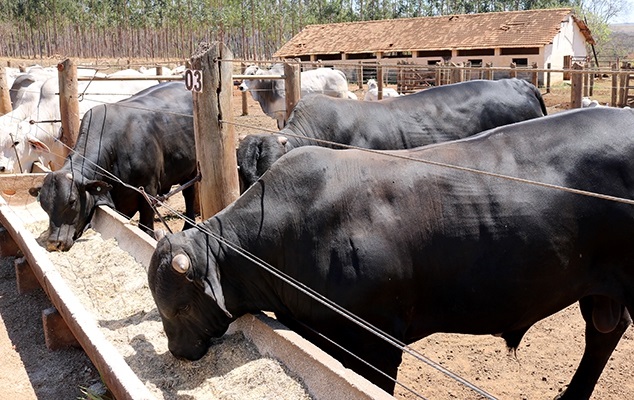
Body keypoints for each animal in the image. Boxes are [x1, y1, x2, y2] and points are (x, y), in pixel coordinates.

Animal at [29, 81, 195, 250]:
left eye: (72, 201)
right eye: (44, 205)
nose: (54, 243)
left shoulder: (149, 190)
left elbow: (146, 227)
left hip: (192, 171)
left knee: (189, 195)